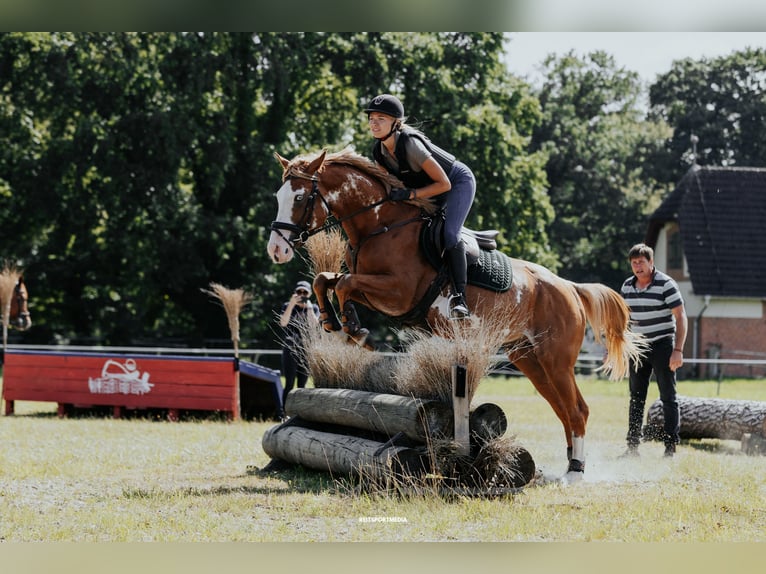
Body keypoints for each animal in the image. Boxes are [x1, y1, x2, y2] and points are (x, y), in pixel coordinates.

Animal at [267, 149, 644, 483]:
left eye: (299, 197)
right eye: (278, 196)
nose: (277, 250)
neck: (381, 226)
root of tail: (569, 287)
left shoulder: (397, 292)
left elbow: (343, 283)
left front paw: (352, 329)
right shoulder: (375, 289)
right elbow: (325, 279)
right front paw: (332, 322)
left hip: (555, 357)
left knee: (577, 409)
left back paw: (576, 473)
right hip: (528, 358)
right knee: (562, 408)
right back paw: (565, 467)